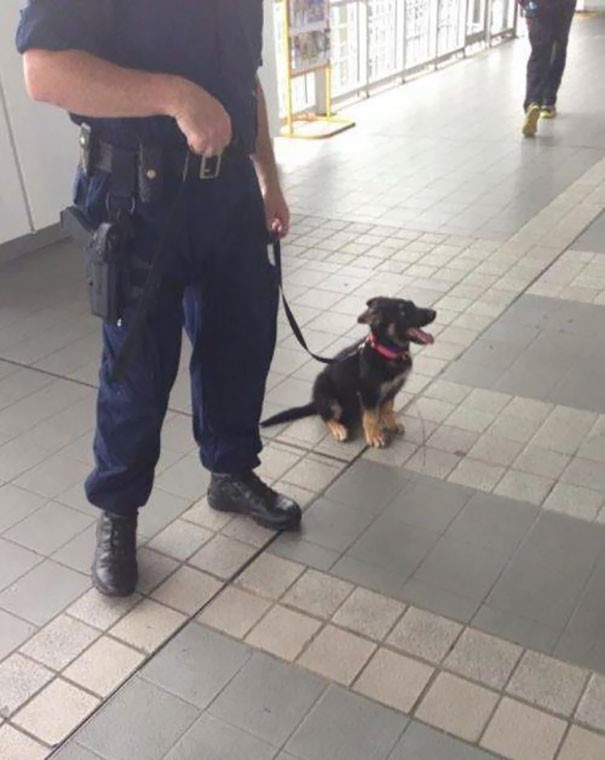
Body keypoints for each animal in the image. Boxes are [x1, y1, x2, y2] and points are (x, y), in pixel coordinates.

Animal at [262, 296, 436, 448]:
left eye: (413, 305)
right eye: (403, 311)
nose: (434, 313)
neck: (387, 353)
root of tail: (315, 401)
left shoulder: (392, 389)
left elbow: (387, 409)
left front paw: (391, 423)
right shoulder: (368, 393)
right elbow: (370, 417)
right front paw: (374, 436)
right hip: (328, 396)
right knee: (326, 416)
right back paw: (339, 429)